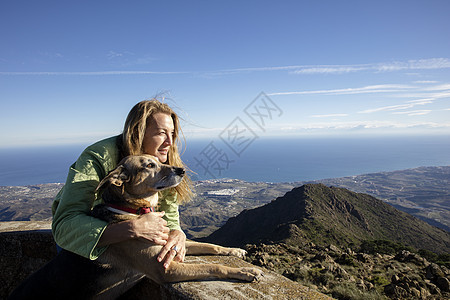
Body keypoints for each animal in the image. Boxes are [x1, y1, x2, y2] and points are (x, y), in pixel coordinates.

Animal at [8, 156, 262, 298]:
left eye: (160, 160)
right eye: (149, 165)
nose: (181, 170)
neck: (133, 211)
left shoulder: (169, 243)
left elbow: (210, 245)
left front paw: (235, 251)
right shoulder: (165, 269)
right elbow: (213, 266)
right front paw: (245, 271)